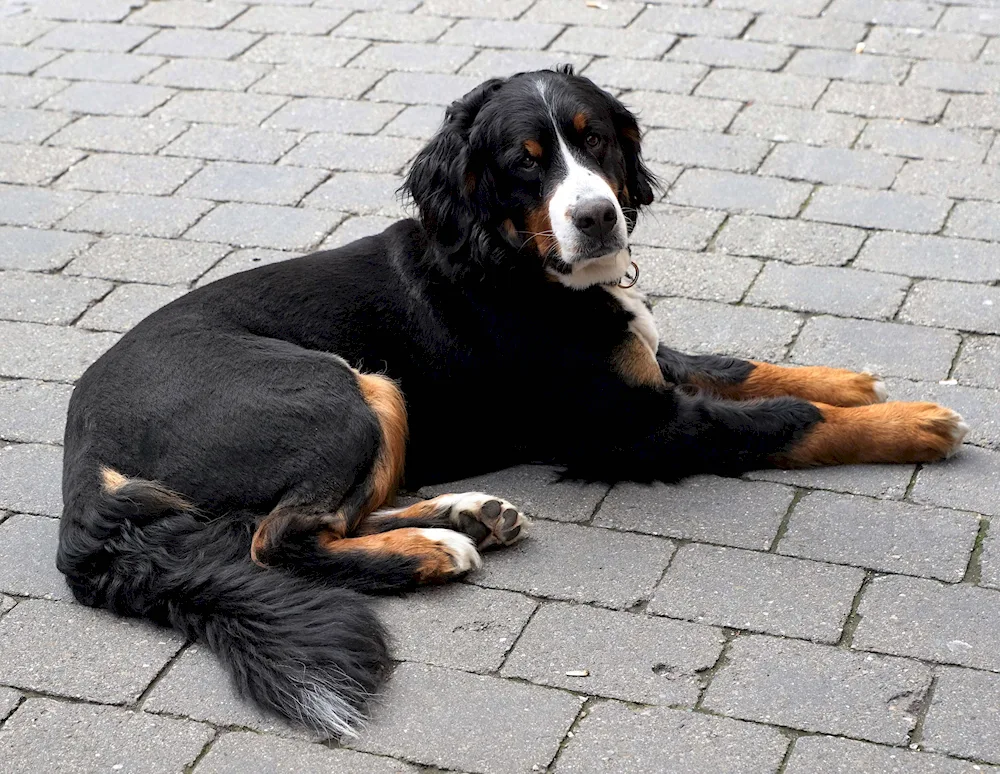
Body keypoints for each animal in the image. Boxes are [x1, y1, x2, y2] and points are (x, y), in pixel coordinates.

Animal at [56, 68, 968, 740]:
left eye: (594, 137)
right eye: (525, 160)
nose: (598, 215)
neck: (515, 259)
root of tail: (82, 454)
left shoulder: (648, 369)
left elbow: (736, 367)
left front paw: (844, 379)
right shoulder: (635, 427)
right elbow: (780, 422)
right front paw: (913, 424)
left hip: (373, 395)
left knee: (337, 516)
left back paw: (466, 516)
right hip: (337, 386)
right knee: (279, 538)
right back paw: (433, 552)